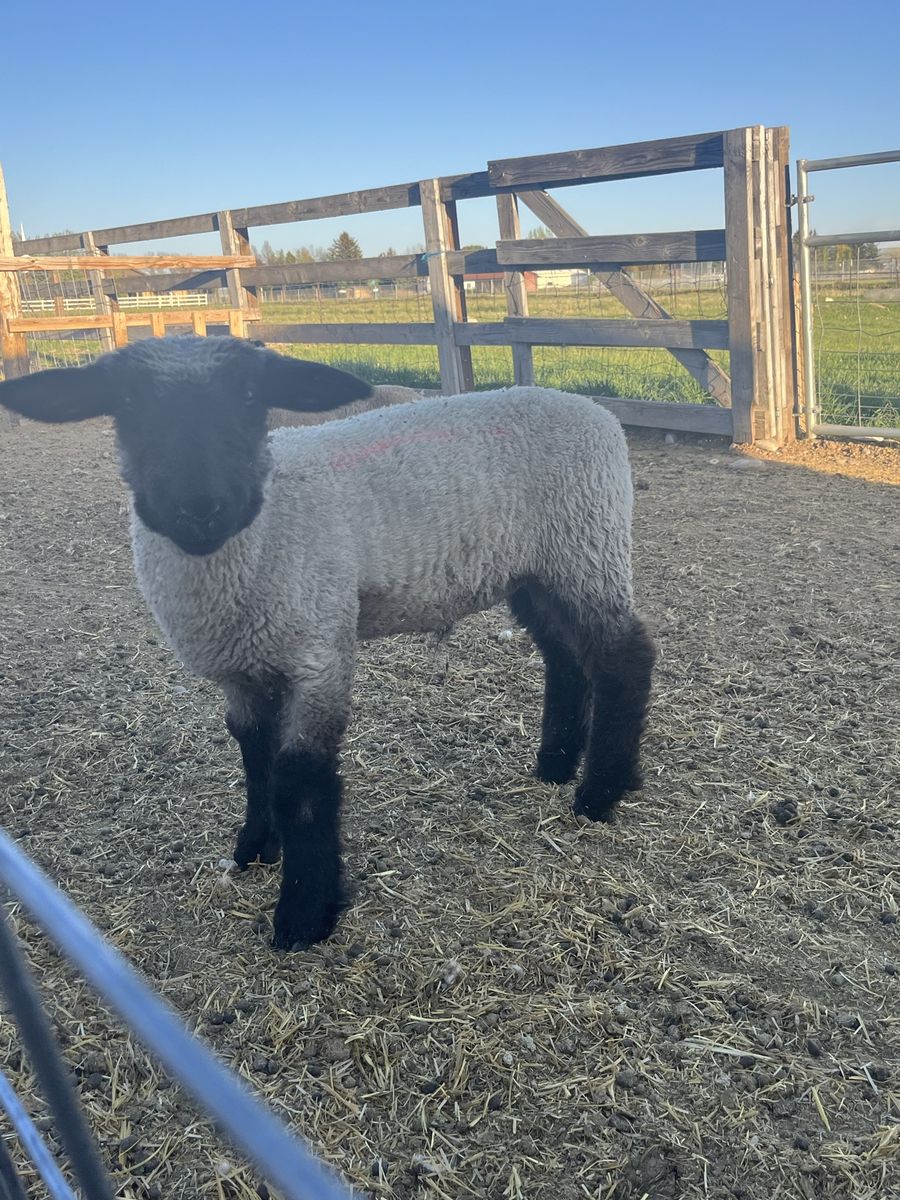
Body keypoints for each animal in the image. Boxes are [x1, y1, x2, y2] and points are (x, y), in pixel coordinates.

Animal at [0, 335, 656, 951]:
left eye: (250, 397)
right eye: (128, 404)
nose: (201, 507)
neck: (261, 535)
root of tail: (593, 410)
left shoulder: (317, 650)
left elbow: (300, 779)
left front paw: (303, 914)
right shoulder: (243, 668)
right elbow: (254, 753)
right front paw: (254, 847)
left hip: (585, 546)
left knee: (624, 658)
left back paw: (599, 792)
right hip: (535, 571)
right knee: (567, 659)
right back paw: (555, 765)